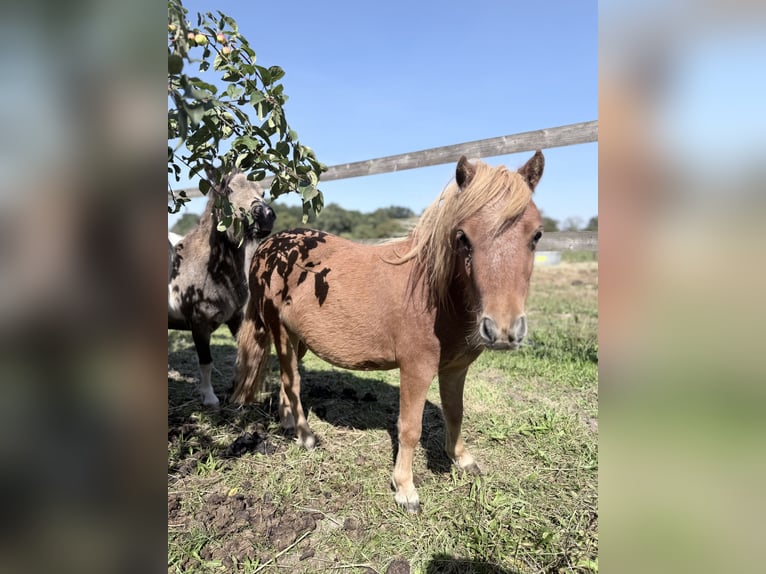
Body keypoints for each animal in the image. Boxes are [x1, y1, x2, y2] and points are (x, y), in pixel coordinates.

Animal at [168, 171, 276, 407]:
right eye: (228, 190)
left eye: (263, 192)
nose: (265, 215)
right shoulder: (199, 324)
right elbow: (206, 362)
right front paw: (209, 398)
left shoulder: (235, 318)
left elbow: (242, 354)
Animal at [231, 152, 545, 512]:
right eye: (463, 236)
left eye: (537, 234)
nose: (504, 329)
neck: (436, 294)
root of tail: (270, 246)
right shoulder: (416, 369)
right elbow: (410, 428)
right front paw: (405, 489)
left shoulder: (455, 368)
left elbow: (455, 412)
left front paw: (462, 459)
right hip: (279, 331)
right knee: (291, 382)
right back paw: (306, 436)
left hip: (297, 339)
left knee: (288, 382)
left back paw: (289, 425)